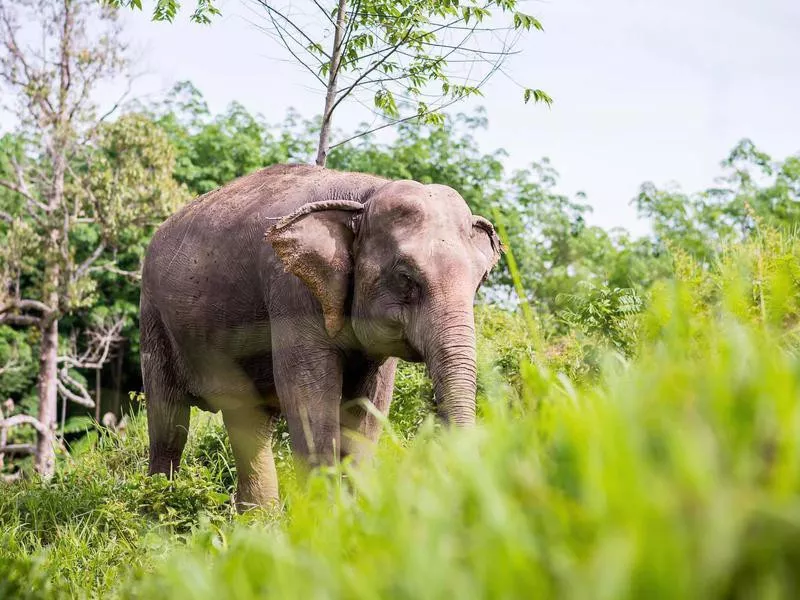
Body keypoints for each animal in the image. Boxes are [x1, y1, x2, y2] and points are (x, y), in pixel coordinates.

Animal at [138, 164, 500, 510]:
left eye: (480, 279)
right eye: (405, 277)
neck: (364, 196)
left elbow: (370, 404)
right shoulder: (290, 288)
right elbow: (307, 394)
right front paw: (325, 517)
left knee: (249, 420)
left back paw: (258, 521)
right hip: (153, 318)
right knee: (168, 425)